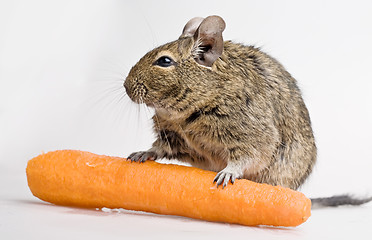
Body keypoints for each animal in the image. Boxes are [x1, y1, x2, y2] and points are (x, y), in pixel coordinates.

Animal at [124, 14, 372, 206]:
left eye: (164, 61)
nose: (126, 87)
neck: (185, 114)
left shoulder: (251, 135)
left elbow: (246, 157)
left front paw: (227, 173)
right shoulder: (172, 134)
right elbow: (160, 147)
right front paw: (142, 153)